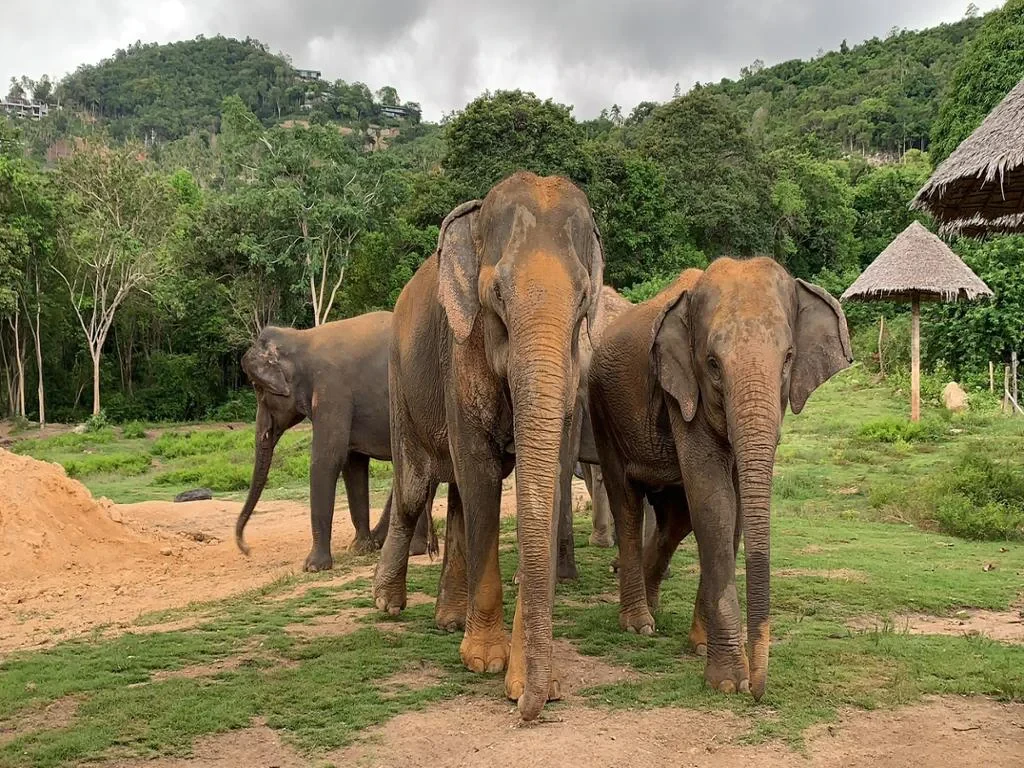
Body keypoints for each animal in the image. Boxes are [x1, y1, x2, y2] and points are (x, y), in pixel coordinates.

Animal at [233, 311, 435, 572]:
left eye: (259, 390)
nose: (246, 549)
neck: (300, 338)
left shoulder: (333, 390)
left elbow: (327, 460)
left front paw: (313, 567)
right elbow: (353, 465)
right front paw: (359, 548)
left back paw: (412, 549)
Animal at [373, 172, 604, 721]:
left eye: (584, 299)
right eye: (496, 294)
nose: (529, 709)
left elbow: (549, 478)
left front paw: (528, 680)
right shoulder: (461, 350)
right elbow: (479, 473)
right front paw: (483, 662)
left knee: (455, 489)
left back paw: (449, 620)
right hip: (399, 382)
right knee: (414, 490)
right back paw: (386, 604)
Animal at [588, 257, 851, 700]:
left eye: (788, 357)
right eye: (712, 363)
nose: (759, 691)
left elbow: (734, 510)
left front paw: (699, 647)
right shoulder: (682, 393)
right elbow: (715, 503)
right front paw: (728, 682)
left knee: (675, 520)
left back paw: (653, 606)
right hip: (601, 411)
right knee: (627, 501)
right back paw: (639, 624)